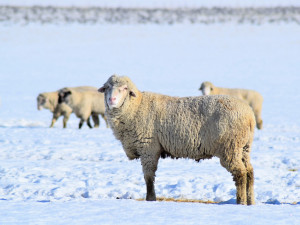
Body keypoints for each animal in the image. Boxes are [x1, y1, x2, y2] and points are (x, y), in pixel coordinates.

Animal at [98, 74, 255, 205]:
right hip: (243, 147)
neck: (136, 107)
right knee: (249, 172)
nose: (111, 100)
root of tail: (249, 115)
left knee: (240, 173)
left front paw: (150, 199)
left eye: (125, 88)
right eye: (107, 87)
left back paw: (240, 202)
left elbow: (148, 177)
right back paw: (250, 201)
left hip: (230, 147)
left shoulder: (148, 148)